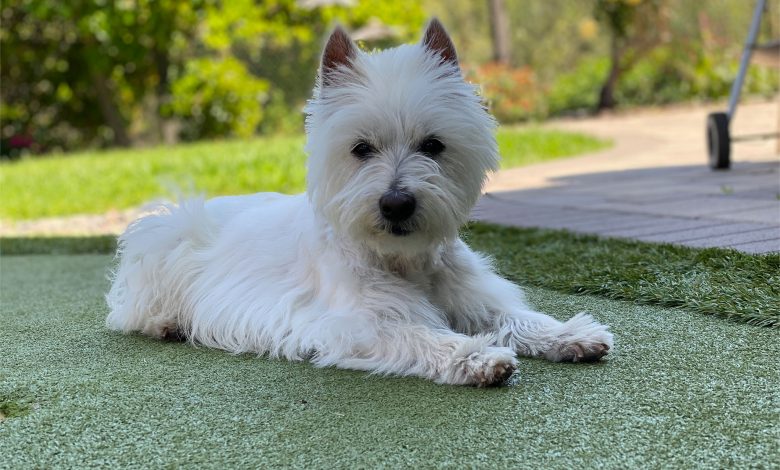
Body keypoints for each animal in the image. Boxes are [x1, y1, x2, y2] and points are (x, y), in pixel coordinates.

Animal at [106, 19, 612, 386]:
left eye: (433, 145)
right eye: (361, 148)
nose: (396, 204)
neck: (404, 259)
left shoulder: (474, 296)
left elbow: (516, 316)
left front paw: (572, 334)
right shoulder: (358, 324)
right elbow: (421, 334)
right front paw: (479, 356)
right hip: (166, 237)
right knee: (130, 308)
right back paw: (169, 323)